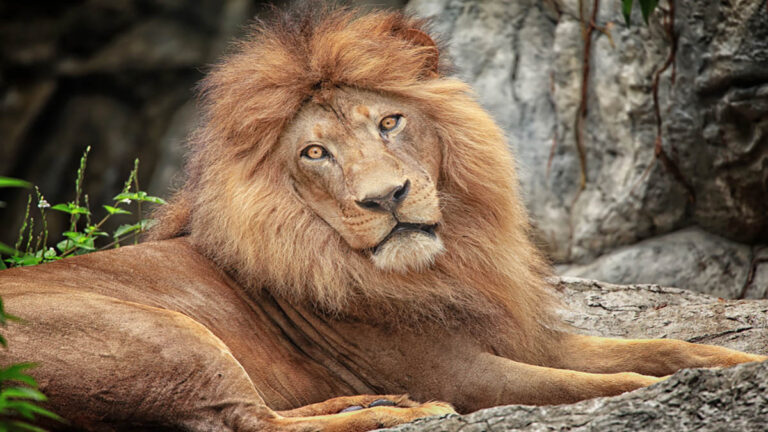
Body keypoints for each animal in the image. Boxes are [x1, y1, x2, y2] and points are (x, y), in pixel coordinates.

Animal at [1, 6, 765, 431]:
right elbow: (600, 385)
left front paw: (742, 364)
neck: (444, 265)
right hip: (161, 333)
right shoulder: (463, 375)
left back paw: (363, 406)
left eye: (389, 122)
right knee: (243, 423)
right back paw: (399, 412)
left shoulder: (518, 334)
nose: (386, 198)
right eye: (315, 152)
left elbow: (670, 349)